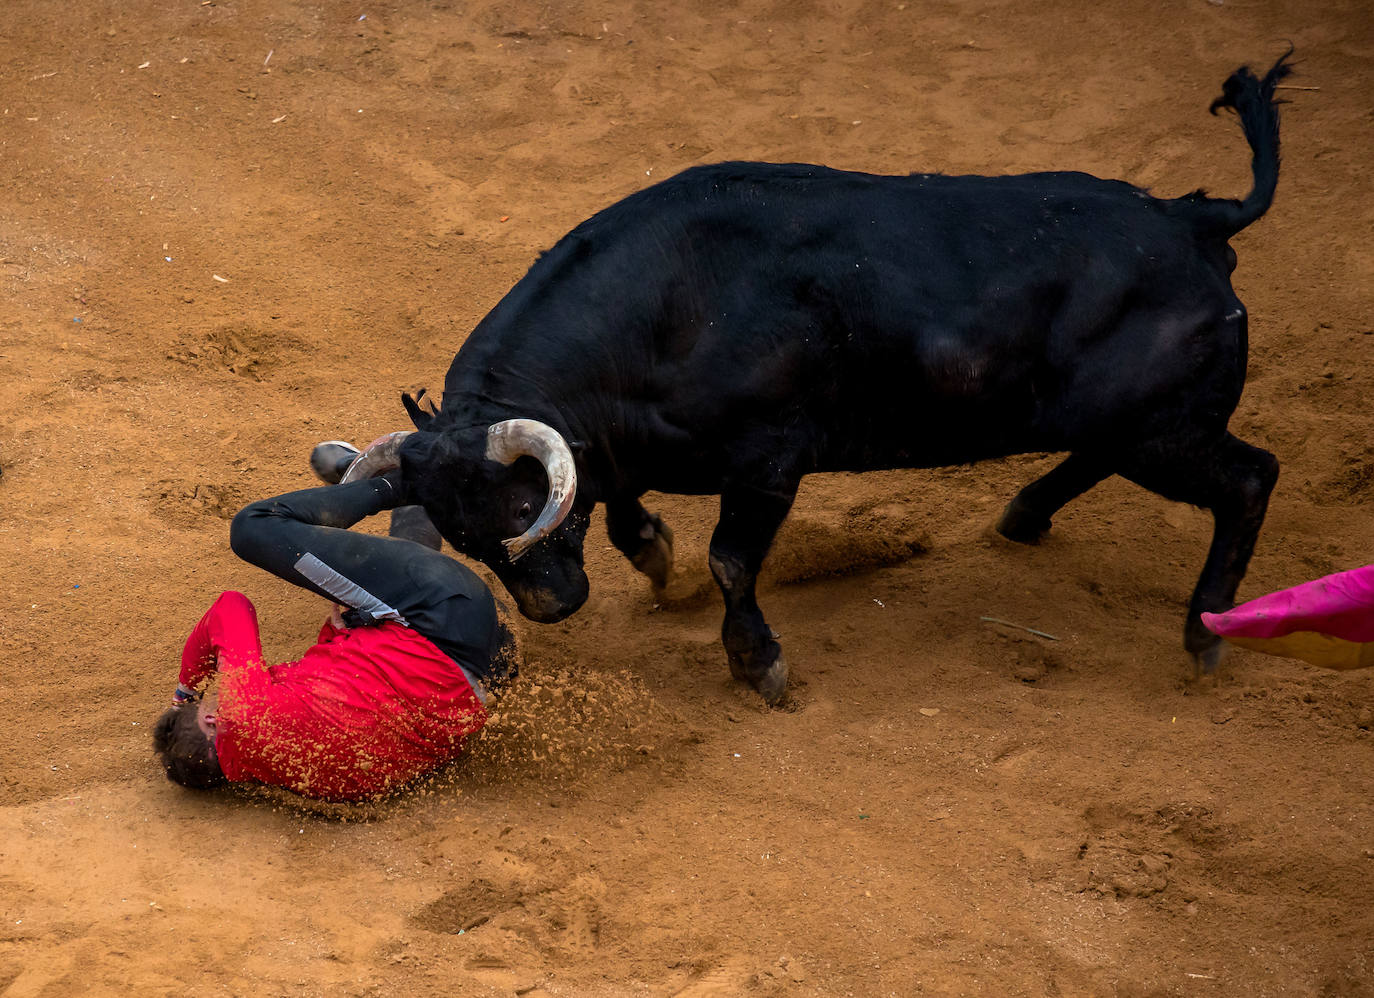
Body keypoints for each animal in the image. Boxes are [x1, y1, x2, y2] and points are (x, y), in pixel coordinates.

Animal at [384, 54, 1286, 703]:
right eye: (459, 532)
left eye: (521, 509)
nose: (550, 607)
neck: (671, 310)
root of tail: (1193, 217)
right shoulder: (620, 442)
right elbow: (615, 498)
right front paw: (653, 552)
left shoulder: (769, 464)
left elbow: (729, 561)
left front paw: (760, 668)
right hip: (1132, 421)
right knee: (1104, 458)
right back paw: (1025, 517)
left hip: (1161, 429)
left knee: (1249, 479)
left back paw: (1205, 637)